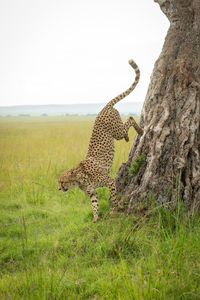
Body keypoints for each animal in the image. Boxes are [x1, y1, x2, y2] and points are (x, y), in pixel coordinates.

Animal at [58, 59, 144, 221]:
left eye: (62, 181)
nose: (58, 188)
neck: (80, 178)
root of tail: (104, 107)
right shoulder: (92, 192)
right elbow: (94, 205)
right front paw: (95, 218)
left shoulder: (109, 180)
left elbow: (114, 197)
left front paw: (114, 210)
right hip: (116, 132)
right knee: (126, 126)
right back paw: (128, 137)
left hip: (116, 131)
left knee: (129, 119)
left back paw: (140, 131)